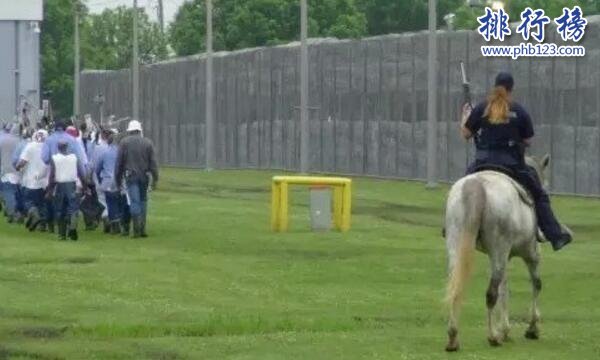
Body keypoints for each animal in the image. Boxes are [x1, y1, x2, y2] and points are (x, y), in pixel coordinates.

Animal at [442, 155, 552, 352]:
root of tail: (475, 186)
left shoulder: (502, 256)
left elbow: (504, 288)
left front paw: (506, 330)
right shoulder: (531, 254)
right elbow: (536, 283)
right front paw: (532, 328)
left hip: (457, 247)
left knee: (456, 287)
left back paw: (453, 338)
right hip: (502, 249)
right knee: (491, 293)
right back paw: (492, 336)